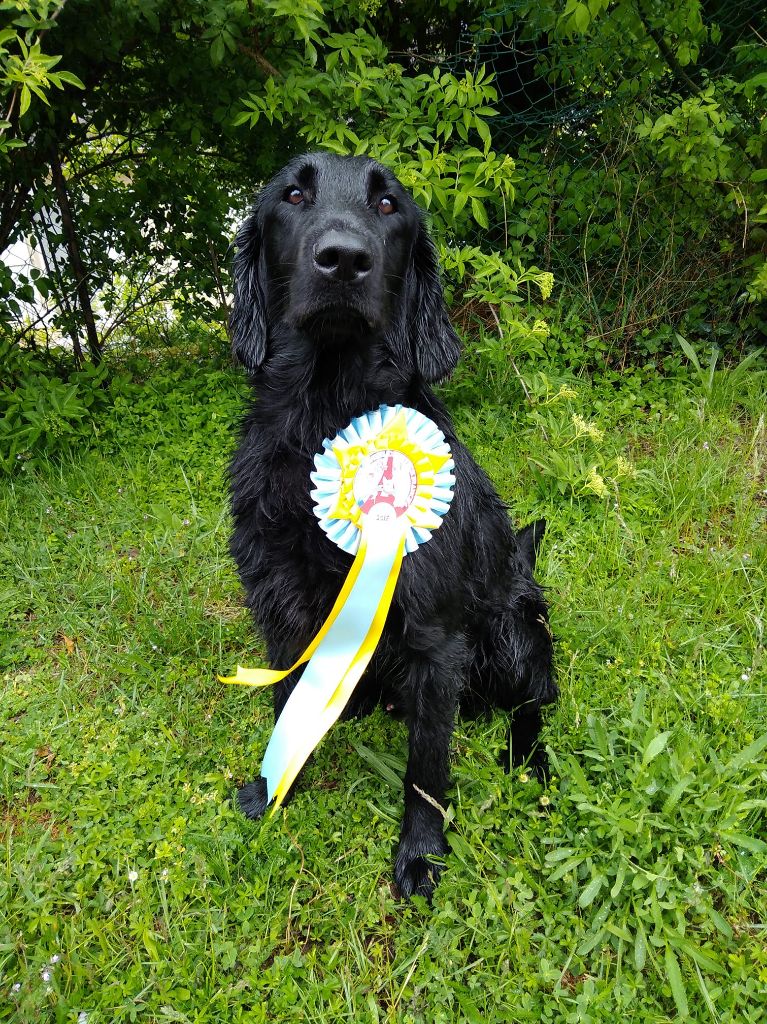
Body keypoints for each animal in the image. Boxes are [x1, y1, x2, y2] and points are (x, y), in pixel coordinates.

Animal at [227, 151, 557, 897]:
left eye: (388, 207)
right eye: (293, 195)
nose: (342, 260)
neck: (326, 414)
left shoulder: (436, 637)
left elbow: (426, 767)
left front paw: (421, 854)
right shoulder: (279, 605)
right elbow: (284, 699)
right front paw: (274, 788)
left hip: (509, 625)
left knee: (535, 701)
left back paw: (532, 761)